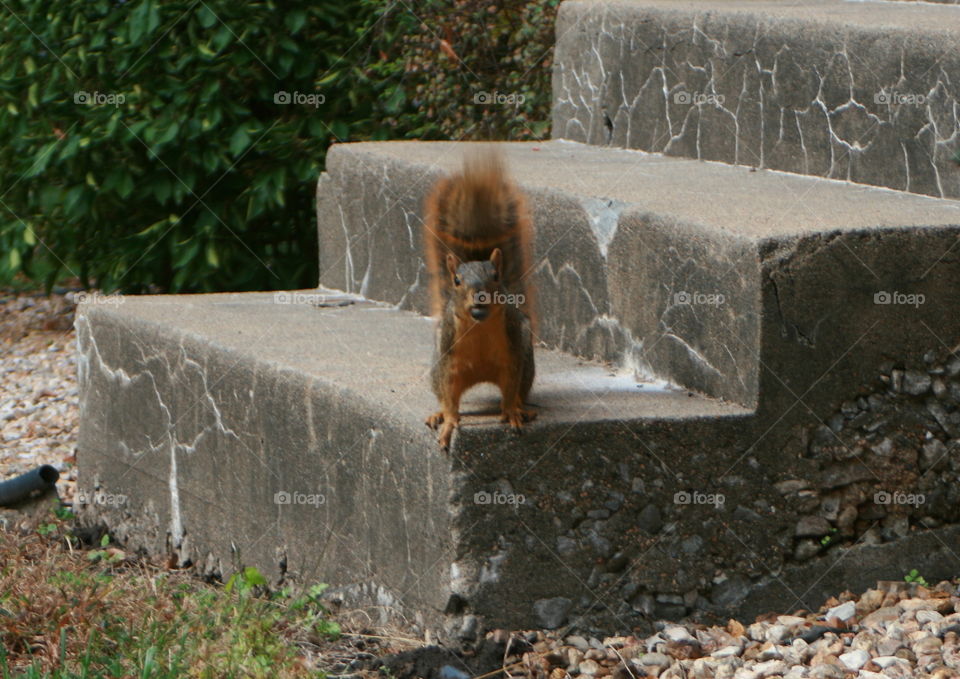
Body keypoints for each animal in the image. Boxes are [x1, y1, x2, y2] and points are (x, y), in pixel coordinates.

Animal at [424, 149, 536, 452]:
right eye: (457, 281)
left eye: (495, 276)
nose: (479, 295)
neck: (479, 328)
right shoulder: (448, 358)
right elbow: (450, 395)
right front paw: (450, 421)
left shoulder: (513, 351)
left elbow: (510, 387)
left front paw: (511, 412)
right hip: (436, 364)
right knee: (442, 392)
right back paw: (438, 413)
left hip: (527, 357)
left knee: (519, 388)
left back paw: (523, 408)